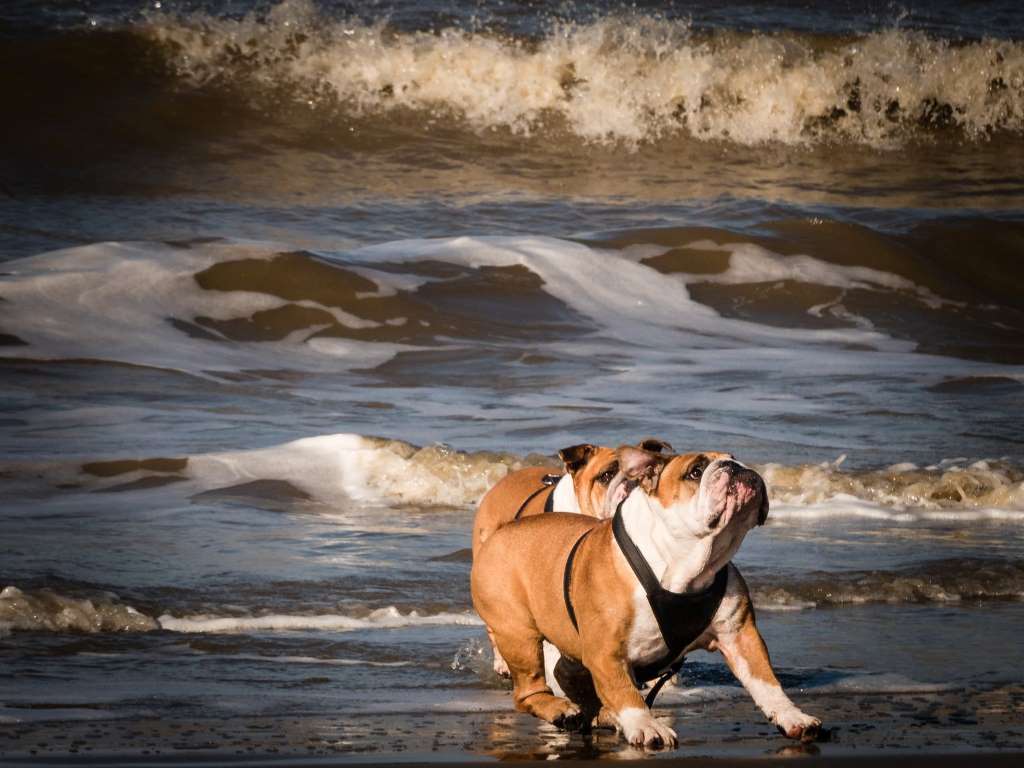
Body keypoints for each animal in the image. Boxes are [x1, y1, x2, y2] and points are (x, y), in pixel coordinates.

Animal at [471, 444, 823, 753]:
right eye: (696, 471)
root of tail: (501, 533)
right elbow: (625, 691)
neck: (687, 562)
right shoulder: (605, 649)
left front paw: (792, 715)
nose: (736, 467)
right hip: (518, 634)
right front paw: (645, 725)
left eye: (734, 458)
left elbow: (766, 681)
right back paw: (562, 710)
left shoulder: (741, 635)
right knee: (528, 691)